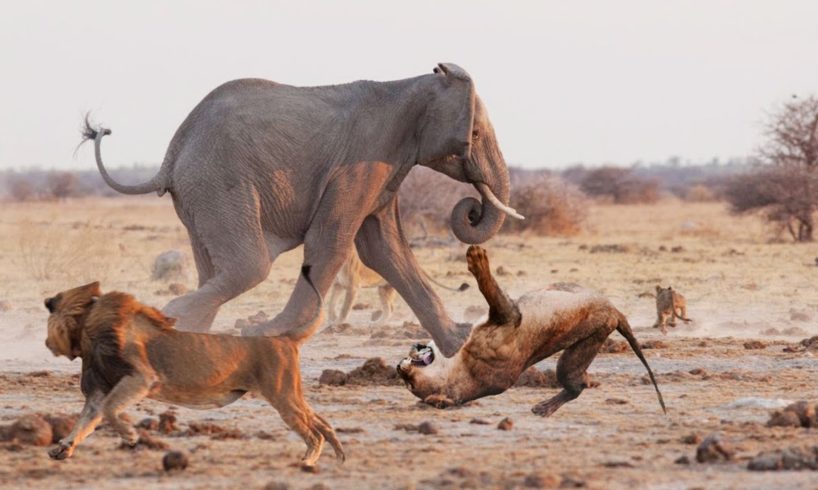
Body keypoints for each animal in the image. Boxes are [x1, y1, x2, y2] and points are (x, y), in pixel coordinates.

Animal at [43, 268, 342, 468]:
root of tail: (285, 338)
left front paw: (129, 436)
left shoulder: (141, 377)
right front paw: (64, 447)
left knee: (313, 432)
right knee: (322, 421)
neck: (87, 331)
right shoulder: (99, 387)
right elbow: (87, 418)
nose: (46, 342)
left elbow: (108, 410)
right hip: (290, 394)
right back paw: (339, 455)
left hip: (282, 395)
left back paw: (308, 462)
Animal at [81, 64, 516, 356]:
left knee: (216, 269)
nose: (471, 210)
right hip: (219, 185)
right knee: (250, 267)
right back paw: (171, 319)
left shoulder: (385, 166)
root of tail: (170, 156)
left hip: (199, 196)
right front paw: (267, 334)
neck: (414, 82)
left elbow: (385, 249)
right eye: (475, 134)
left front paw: (460, 342)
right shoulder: (360, 162)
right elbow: (333, 242)